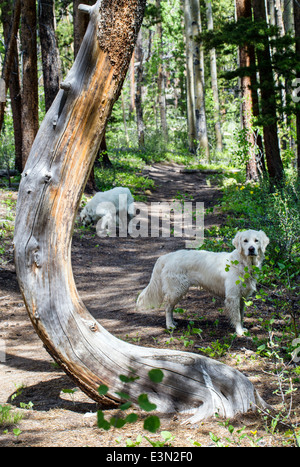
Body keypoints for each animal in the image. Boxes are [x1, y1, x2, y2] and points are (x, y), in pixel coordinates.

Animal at [136, 230, 270, 336]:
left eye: (256, 241)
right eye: (245, 241)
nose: (251, 249)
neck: (244, 263)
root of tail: (167, 256)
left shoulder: (242, 297)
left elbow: (241, 315)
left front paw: (242, 328)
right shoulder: (233, 296)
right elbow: (237, 316)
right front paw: (239, 331)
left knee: (171, 307)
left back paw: (173, 322)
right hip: (177, 289)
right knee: (168, 307)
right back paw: (170, 325)